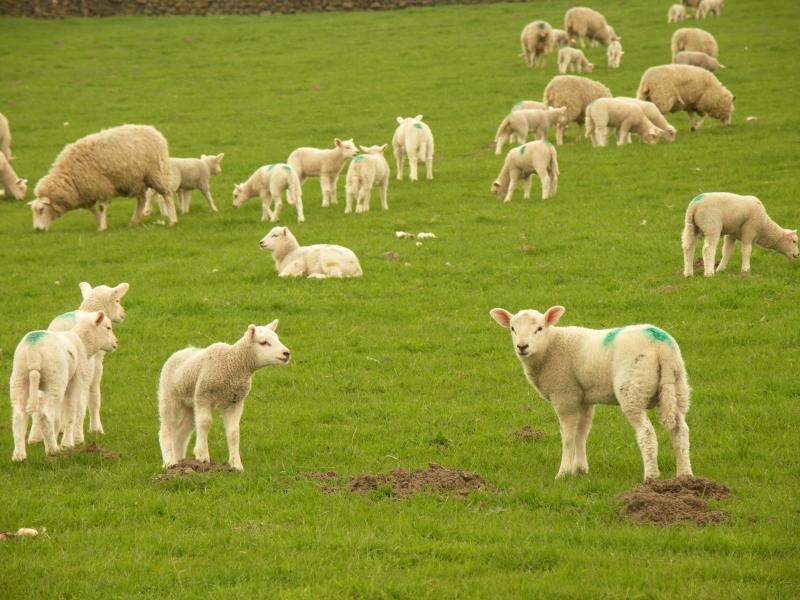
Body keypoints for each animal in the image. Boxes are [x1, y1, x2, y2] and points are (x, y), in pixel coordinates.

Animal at [9, 311, 118, 461]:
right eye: (108, 328)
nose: (115, 343)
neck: (83, 342)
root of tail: (33, 352)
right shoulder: (76, 381)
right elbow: (72, 412)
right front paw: (68, 443)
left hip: (19, 377)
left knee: (19, 416)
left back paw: (19, 455)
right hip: (55, 379)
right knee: (45, 414)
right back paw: (52, 449)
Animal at [27, 282, 129, 447]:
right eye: (117, 300)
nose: (123, 314)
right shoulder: (97, 366)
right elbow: (94, 396)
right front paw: (96, 428)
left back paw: (36, 437)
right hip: (81, 371)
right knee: (79, 403)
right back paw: (76, 437)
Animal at [29, 124, 172, 232]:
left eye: (41, 210)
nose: (37, 230)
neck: (69, 177)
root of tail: (154, 131)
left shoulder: (102, 186)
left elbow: (102, 207)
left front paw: (102, 227)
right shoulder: (88, 192)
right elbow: (92, 210)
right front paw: (100, 223)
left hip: (155, 173)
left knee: (166, 195)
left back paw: (171, 220)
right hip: (138, 180)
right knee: (141, 200)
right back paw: (134, 222)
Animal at [158, 321, 290, 471]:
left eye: (277, 338)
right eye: (264, 342)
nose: (286, 353)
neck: (233, 362)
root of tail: (181, 351)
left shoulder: (235, 402)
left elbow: (234, 433)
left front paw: (236, 465)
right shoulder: (203, 396)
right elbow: (205, 423)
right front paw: (203, 456)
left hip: (190, 403)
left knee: (181, 432)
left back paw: (180, 462)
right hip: (169, 396)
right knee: (166, 429)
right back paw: (169, 462)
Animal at [490, 306, 693, 482]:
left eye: (539, 328)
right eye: (513, 329)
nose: (522, 346)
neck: (550, 347)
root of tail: (661, 346)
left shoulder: (564, 395)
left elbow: (568, 436)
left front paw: (563, 473)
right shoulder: (584, 398)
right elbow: (582, 432)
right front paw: (580, 469)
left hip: (633, 387)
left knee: (647, 433)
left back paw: (650, 477)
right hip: (678, 386)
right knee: (680, 431)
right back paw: (684, 477)